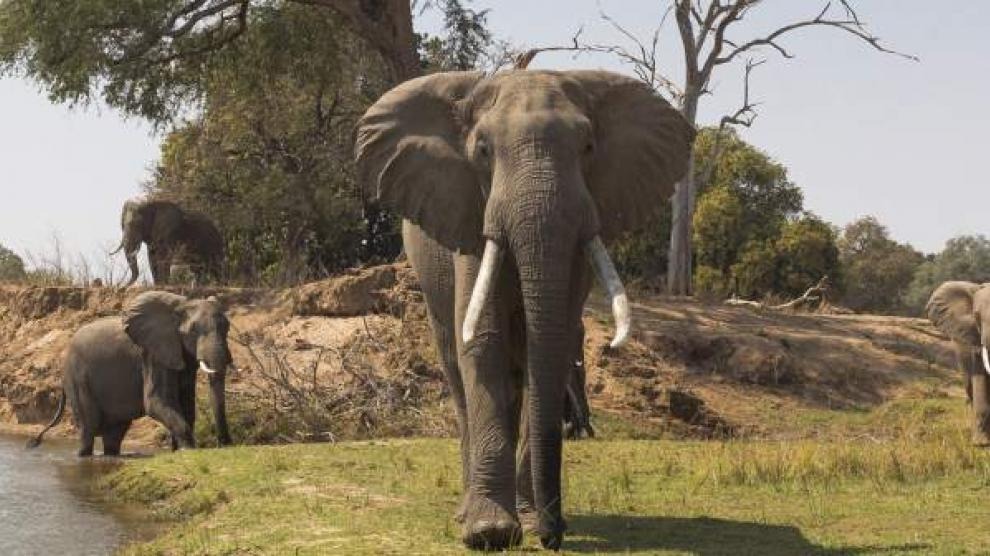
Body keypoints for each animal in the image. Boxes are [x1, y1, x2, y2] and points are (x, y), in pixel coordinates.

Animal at [28, 292, 233, 456]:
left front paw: (179, 451)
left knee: (114, 434)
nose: (225, 445)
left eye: (227, 327)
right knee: (88, 429)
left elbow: (187, 404)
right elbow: (156, 402)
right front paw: (188, 451)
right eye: (193, 331)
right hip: (77, 380)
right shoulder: (152, 354)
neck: (181, 305)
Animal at [358, 68, 696, 548]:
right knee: (456, 365)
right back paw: (469, 512)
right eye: (482, 150)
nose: (553, 537)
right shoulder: (469, 212)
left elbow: (551, 350)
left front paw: (530, 523)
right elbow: (482, 340)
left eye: (588, 147)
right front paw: (490, 534)